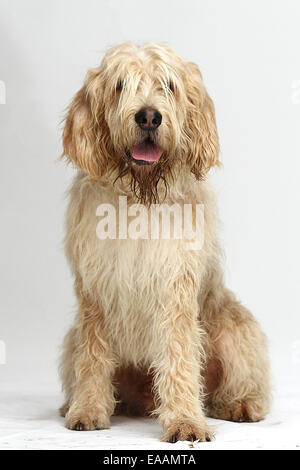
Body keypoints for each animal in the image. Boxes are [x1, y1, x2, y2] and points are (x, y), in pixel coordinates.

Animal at [59, 42, 272, 442]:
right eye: (121, 84)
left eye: (168, 85)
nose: (148, 117)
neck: (140, 197)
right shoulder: (94, 295)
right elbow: (92, 357)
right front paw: (88, 409)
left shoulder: (175, 290)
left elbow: (179, 356)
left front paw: (186, 420)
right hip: (71, 339)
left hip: (234, 327)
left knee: (235, 378)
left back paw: (240, 404)